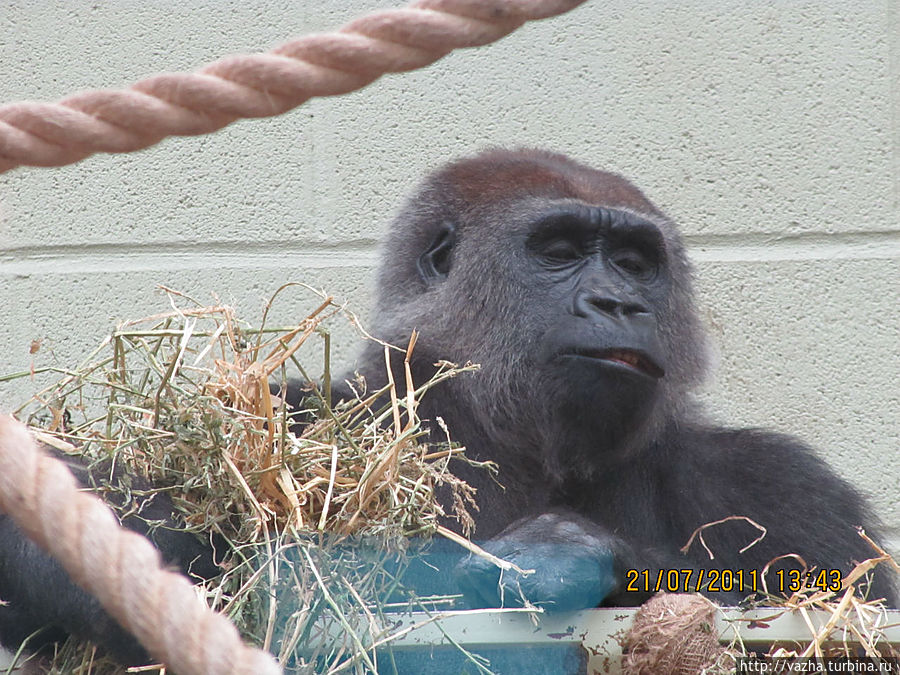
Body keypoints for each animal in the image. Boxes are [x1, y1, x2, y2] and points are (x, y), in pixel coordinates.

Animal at [0, 148, 892, 664]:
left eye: (638, 263)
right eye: (560, 252)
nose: (619, 303)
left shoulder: (780, 480)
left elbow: (851, 596)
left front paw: (581, 552)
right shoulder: (293, 413)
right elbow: (94, 546)